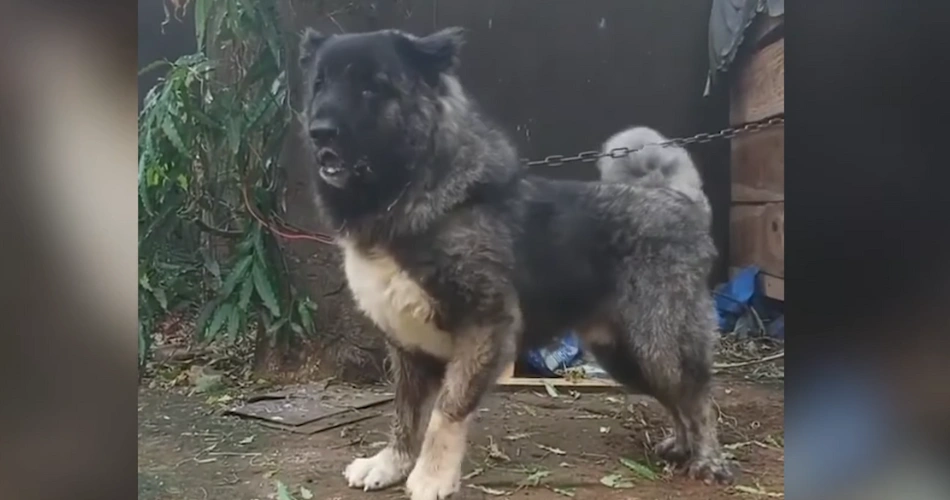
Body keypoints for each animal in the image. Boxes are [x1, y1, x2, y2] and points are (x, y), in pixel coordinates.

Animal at [302, 28, 732, 500]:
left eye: (370, 86)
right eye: (320, 84)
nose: (318, 132)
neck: (417, 200)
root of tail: (680, 201)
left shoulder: (483, 327)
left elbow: (445, 412)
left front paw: (431, 477)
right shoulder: (408, 348)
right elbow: (405, 415)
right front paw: (391, 464)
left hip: (660, 347)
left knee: (699, 399)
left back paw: (708, 459)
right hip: (626, 356)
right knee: (678, 402)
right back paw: (681, 445)